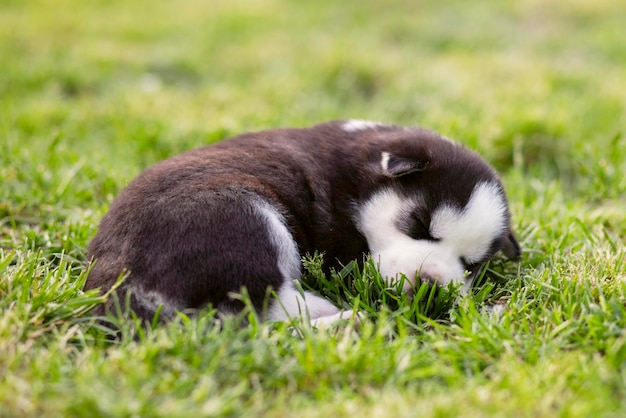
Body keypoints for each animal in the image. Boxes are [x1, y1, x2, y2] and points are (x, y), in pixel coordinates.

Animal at [85, 119, 520, 324]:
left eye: (471, 266)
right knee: (260, 315)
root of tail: (113, 283)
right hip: (242, 215)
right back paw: (341, 317)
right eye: (418, 225)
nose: (431, 286)